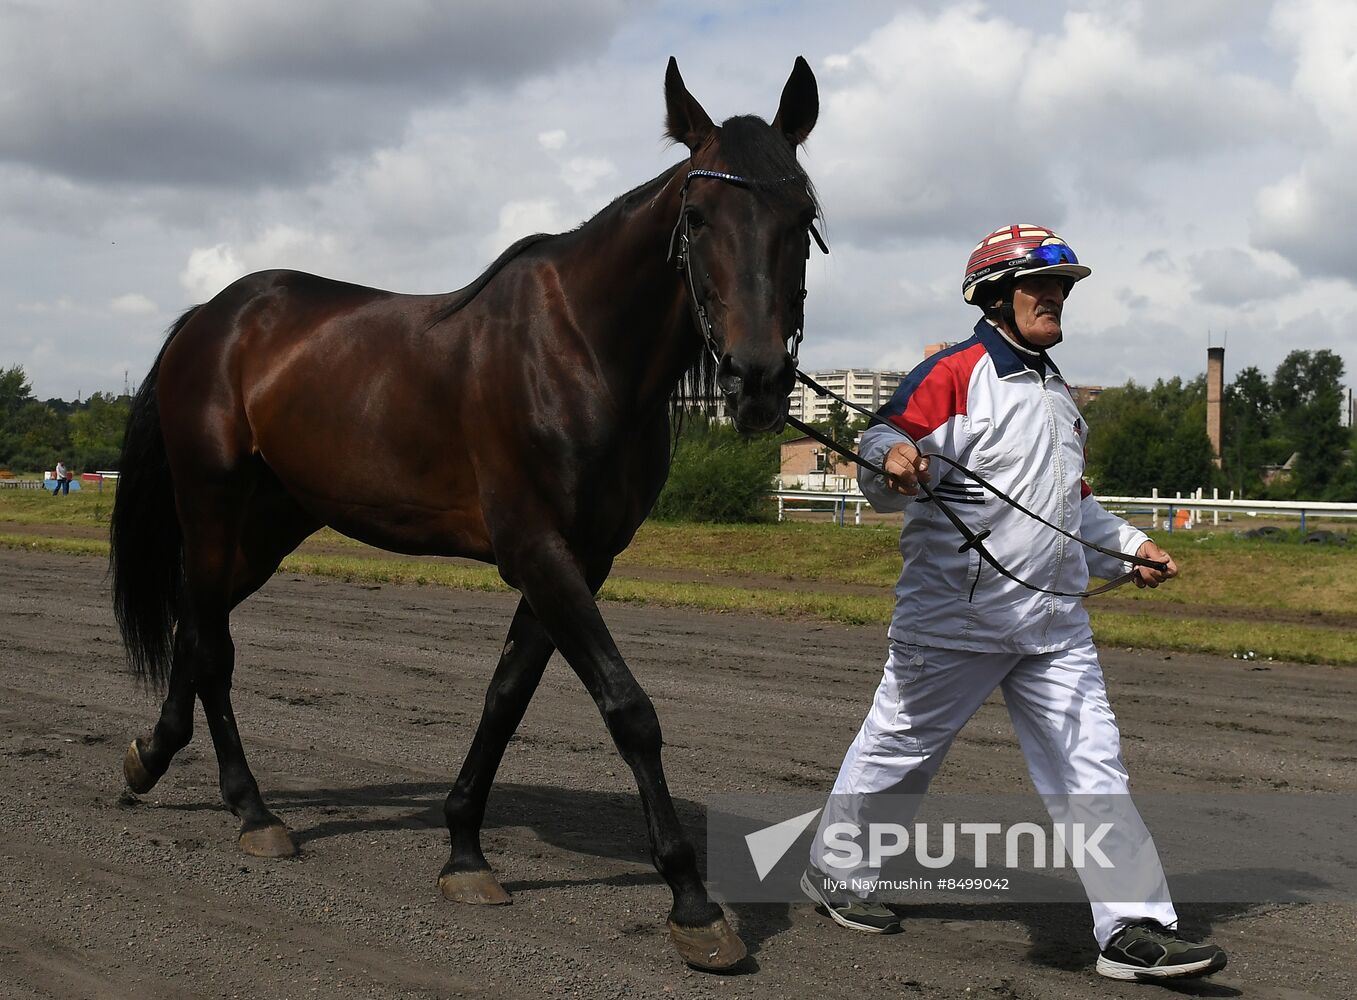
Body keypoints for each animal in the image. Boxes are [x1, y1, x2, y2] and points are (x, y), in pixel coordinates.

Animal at [105, 56, 819, 966]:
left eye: (802, 214)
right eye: (696, 218)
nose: (757, 378)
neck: (580, 350)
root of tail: (214, 315)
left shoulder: (580, 560)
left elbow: (504, 698)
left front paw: (464, 849)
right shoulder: (538, 550)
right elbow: (628, 709)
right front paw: (693, 903)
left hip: (272, 524)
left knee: (201, 632)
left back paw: (168, 762)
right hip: (211, 508)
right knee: (207, 642)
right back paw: (249, 808)